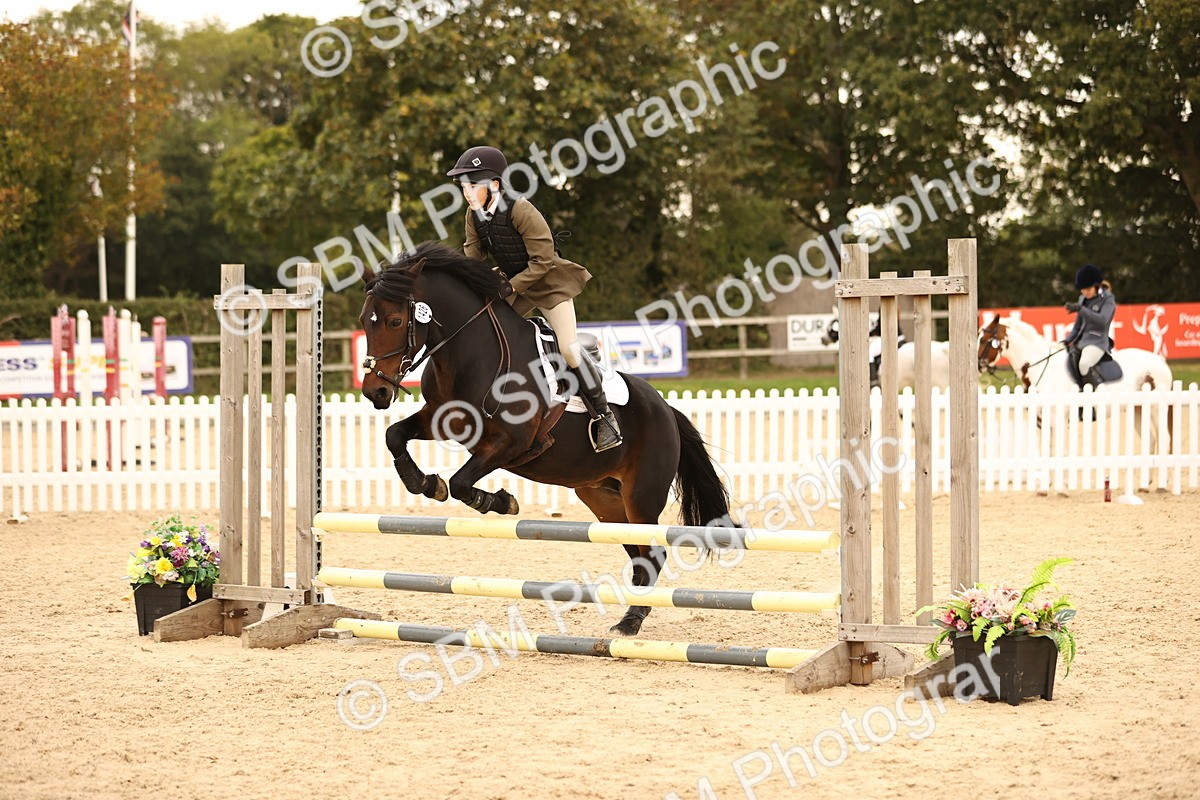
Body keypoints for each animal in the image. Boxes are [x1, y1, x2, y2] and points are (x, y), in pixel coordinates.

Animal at [357, 242, 737, 637]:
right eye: (364, 321)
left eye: (395, 321)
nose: (376, 392)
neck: (473, 353)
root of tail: (666, 409)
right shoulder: (443, 419)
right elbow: (394, 435)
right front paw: (424, 483)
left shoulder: (512, 443)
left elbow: (461, 482)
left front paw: (499, 501)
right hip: (604, 498)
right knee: (638, 554)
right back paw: (632, 615)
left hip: (642, 496)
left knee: (652, 553)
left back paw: (630, 622)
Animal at [977, 314, 1174, 453]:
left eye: (985, 340)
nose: (978, 366)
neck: (1041, 368)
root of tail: (1160, 362)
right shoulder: (1042, 422)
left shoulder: (1058, 421)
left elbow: (1061, 453)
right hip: (1137, 410)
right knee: (1150, 439)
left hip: (1155, 409)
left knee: (1163, 439)